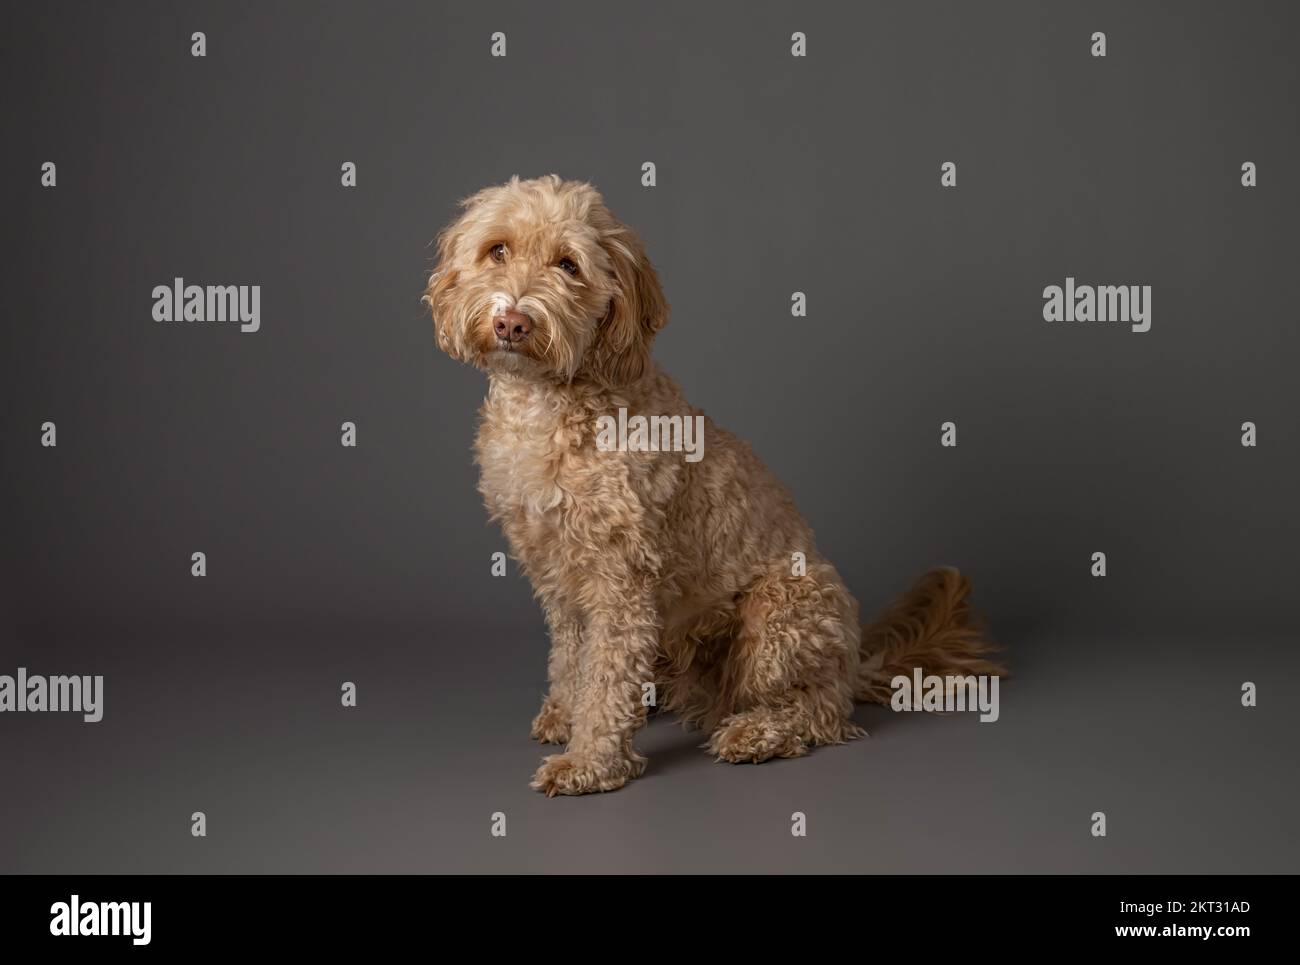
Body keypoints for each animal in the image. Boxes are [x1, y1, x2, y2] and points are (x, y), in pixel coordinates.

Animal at [421, 175, 998, 801]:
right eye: (497, 250)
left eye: (569, 265)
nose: (513, 322)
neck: (552, 405)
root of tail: (853, 661)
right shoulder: (556, 574)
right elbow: (572, 659)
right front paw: (564, 714)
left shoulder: (621, 579)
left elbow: (607, 676)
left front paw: (591, 761)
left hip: (783, 611)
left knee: (821, 711)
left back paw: (757, 732)